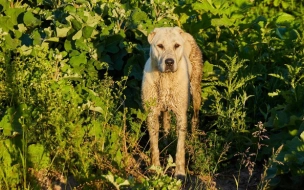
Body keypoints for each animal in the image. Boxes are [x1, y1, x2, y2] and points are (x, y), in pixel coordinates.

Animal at [141, 26, 203, 178]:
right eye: (160, 46)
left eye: (176, 45)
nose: (169, 62)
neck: (166, 79)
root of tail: (185, 33)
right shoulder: (151, 114)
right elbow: (153, 145)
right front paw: (155, 169)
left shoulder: (181, 115)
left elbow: (180, 148)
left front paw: (180, 173)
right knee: (166, 121)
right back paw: (166, 142)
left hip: (196, 92)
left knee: (195, 119)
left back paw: (193, 143)